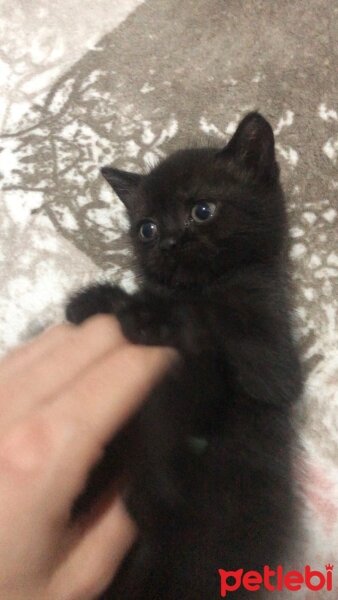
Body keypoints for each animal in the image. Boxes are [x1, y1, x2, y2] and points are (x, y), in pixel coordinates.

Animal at [66, 113, 302, 600]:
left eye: (202, 211)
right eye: (147, 228)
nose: (170, 242)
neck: (205, 282)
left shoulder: (273, 354)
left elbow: (207, 314)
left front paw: (145, 310)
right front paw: (94, 301)